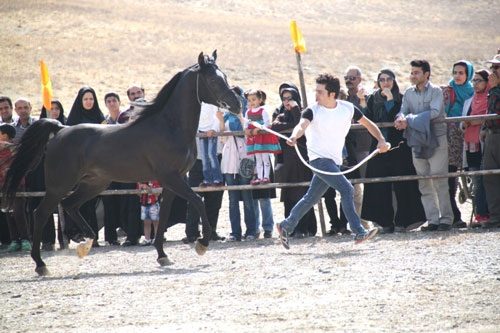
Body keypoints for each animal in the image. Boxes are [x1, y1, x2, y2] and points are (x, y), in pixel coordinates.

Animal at [1, 50, 240, 274]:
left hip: (95, 183)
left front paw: (163, 256)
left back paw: (86, 243)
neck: (170, 127)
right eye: (213, 80)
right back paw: (41, 264)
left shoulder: (173, 181)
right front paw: (202, 244)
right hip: (59, 185)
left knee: (70, 205)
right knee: (41, 213)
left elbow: (163, 216)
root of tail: (59, 130)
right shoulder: (171, 178)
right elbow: (198, 201)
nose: (236, 105)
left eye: (225, 76)